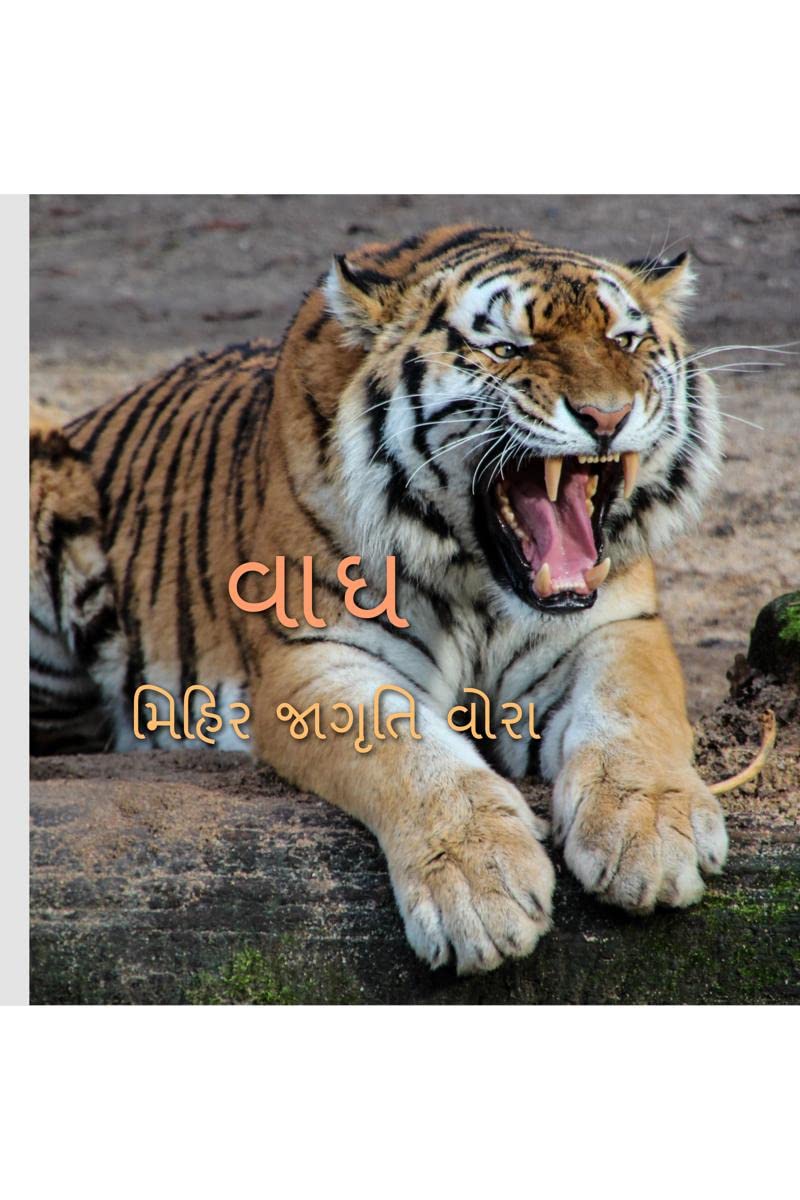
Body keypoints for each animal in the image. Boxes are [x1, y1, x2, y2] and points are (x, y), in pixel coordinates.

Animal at [30, 223, 729, 975]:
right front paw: (478, 889)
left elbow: (633, 712)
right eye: (506, 349)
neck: (481, 583)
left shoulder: (615, 626)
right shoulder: (318, 657)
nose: (607, 416)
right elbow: (412, 755)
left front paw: (650, 832)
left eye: (624, 341)